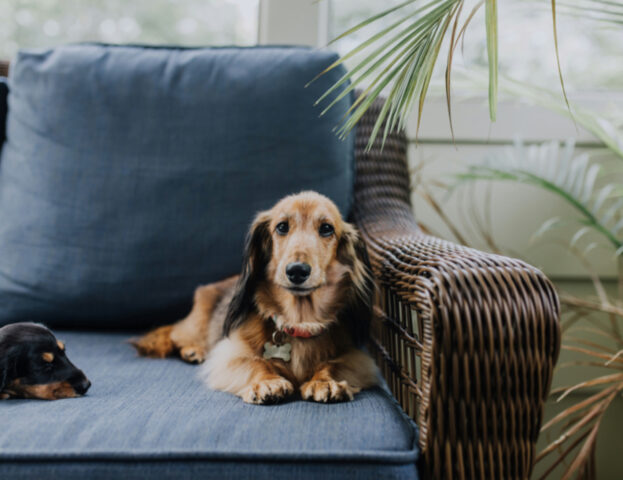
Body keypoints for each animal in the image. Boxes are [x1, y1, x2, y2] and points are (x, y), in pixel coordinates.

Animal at [133, 191, 380, 404]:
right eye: (282, 226)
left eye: (327, 228)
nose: (297, 271)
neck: (298, 321)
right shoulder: (230, 355)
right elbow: (255, 363)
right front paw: (267, 382)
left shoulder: (355, 357)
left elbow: (333, 363)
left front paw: (324, 381)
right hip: (196, 325)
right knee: (175, 334)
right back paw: (193, 350)